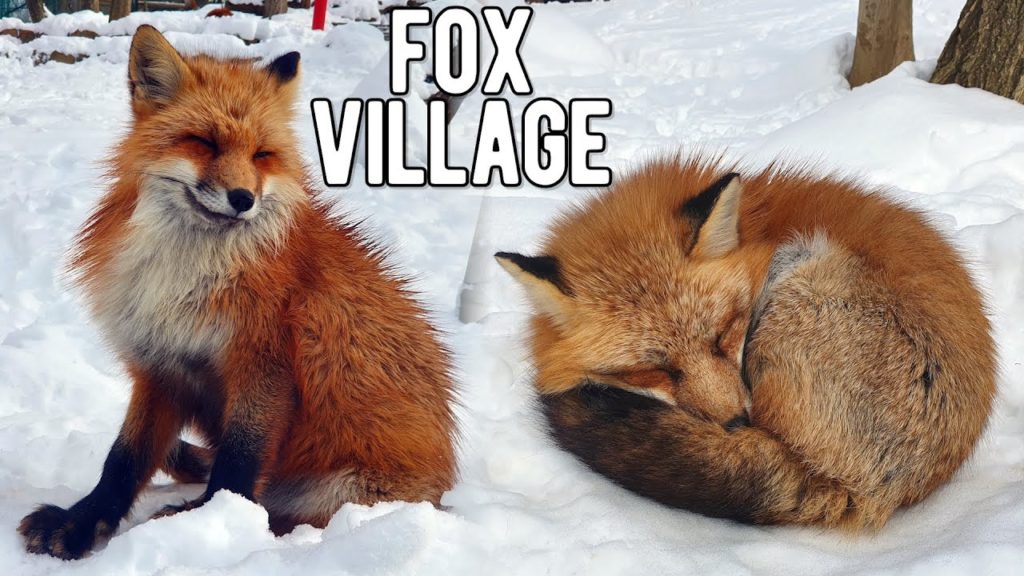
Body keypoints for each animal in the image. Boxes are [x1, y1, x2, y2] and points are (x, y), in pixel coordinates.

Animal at [18, 25, 457, 560]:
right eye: (204, 142)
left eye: (261, 155)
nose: (244, 199)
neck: (190, 277)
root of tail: (444, 482)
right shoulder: (161, 366)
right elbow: (123, 460)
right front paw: (81, 522)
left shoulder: (264, 366)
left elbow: (238, 466)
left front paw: (210, 521)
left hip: (339, 494)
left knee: (276, 512)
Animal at [496, 155, 996, 530]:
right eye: (656, 369)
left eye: (723, 336)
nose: (736, 423)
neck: (759, 229)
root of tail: (882, 491)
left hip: (799, 273)